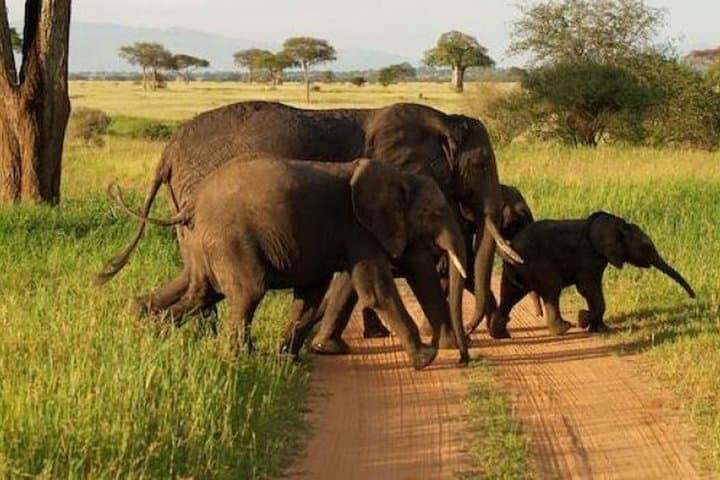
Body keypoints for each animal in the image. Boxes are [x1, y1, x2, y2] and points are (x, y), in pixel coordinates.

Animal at [116, 157, 470, 369]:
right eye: (436, 212)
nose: (463, 360)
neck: (399, 176)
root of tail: (190, 206)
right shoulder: (360, 230)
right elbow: (375, 290)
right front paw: (427, 358)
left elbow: (311, 295)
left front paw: (287, 359)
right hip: (230, 241)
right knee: (245, 292)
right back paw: (238, 357)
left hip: (202, 244)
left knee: (201, 289)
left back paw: (146, 323)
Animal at [488, 211, 696, 339]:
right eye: (646, 247)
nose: (693, 297)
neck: (615, 223)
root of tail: (509, 247)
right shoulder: (588, 255)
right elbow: (588, 288)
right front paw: (582, 319)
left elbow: (593, 290)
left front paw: (601, 329)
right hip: (536, 264)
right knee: (552, 289)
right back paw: (564, 328)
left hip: (518, 268)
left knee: (510, 294)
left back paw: (501, 335)